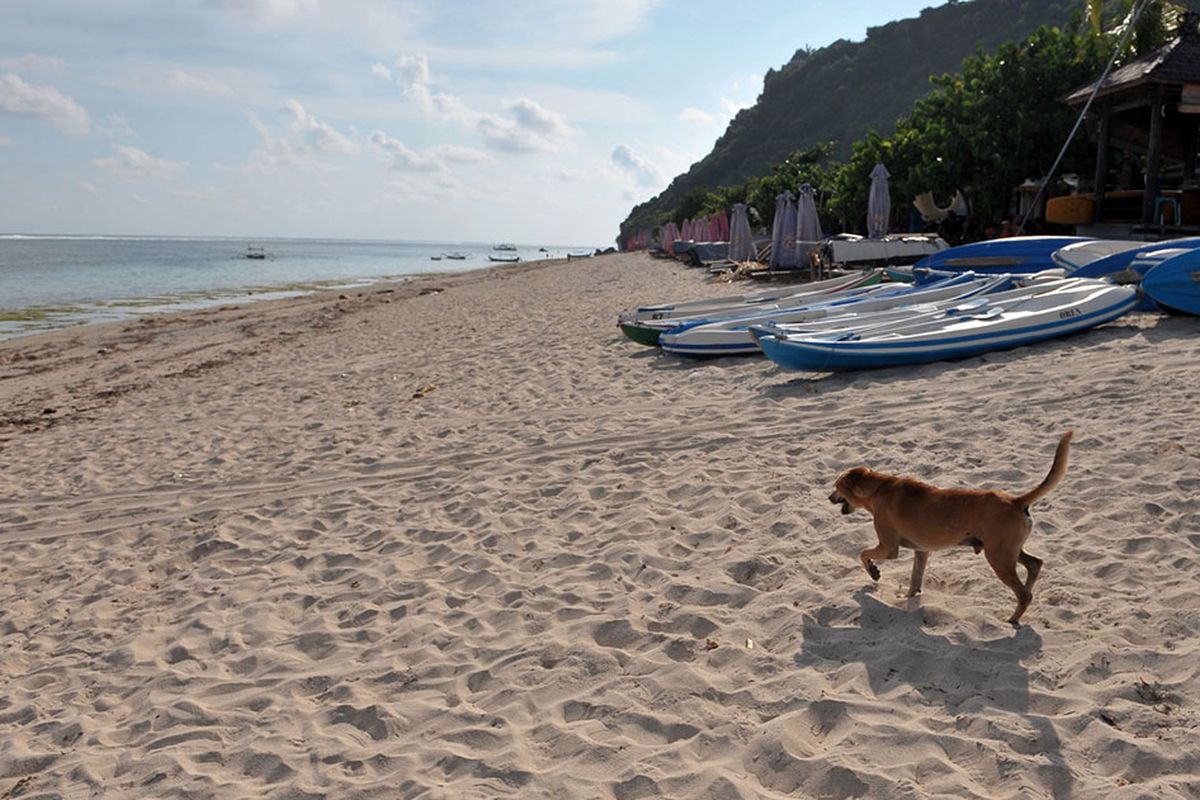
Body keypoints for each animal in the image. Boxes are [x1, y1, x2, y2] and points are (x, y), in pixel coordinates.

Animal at [830, 431, 1075, 623]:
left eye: (836, 486)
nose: (828, 497)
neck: (878, 489)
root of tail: (1015, 501)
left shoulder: (889, 548)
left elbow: (863, 553)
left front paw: (873, 571)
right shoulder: (921, 551)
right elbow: (915, 579)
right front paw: (908, 597)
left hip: (998, 557)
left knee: (1024, 593)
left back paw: (1013, 620)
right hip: (1007, 551)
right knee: (1034, 564)